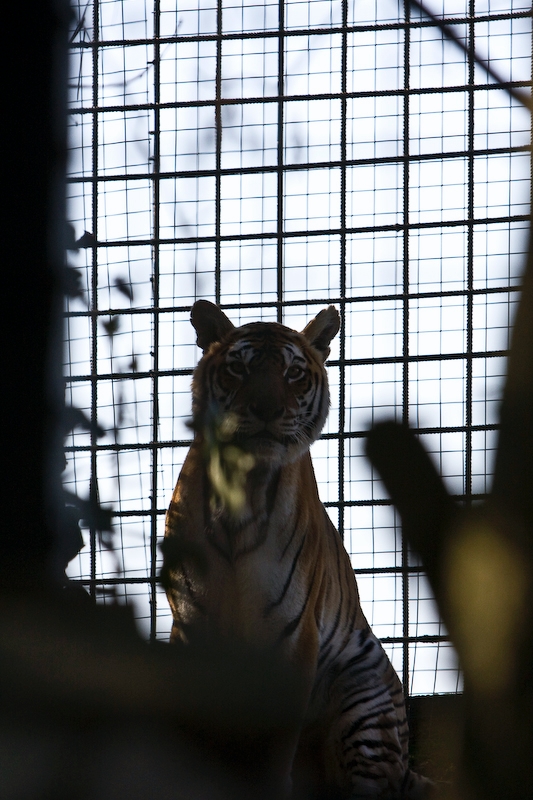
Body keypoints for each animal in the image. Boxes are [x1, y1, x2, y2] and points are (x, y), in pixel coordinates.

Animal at [162, 300, 432, 799]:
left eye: (293, 373)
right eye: (239, 369)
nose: (267, 409)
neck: (242, 491)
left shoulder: (291, 635)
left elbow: (274, 750)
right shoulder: (192, 626)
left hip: (365, 706)